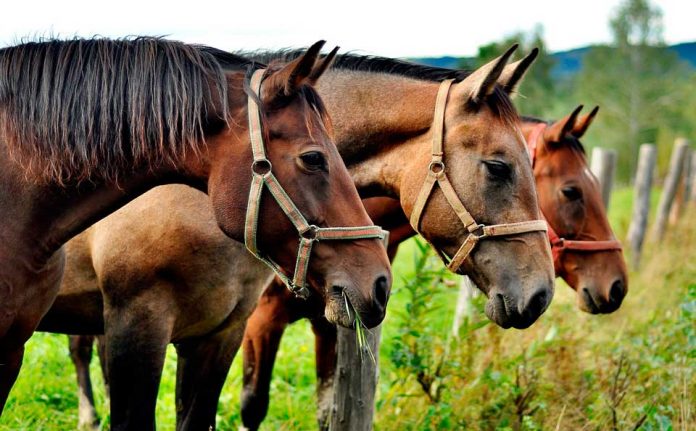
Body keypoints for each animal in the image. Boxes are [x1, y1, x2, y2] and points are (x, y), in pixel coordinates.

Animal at [238, 106, 624, 430]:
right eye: (571, 191)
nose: (618, 285)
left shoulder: (329, 322)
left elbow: (326, 411)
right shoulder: (260, 322)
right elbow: (252, 406)